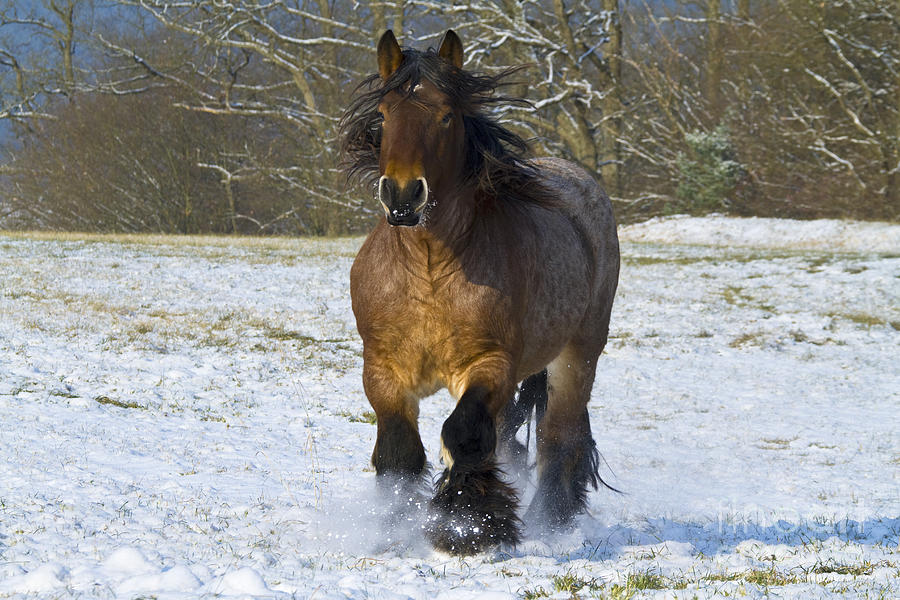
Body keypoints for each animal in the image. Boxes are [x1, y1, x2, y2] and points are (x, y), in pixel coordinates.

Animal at [338, 28, 620, 552]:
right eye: (384, 115)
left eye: (447, 115)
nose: (403, 196)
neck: (430, 270)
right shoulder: (383, 370)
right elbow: (399, 452)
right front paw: (395, 531)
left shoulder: (488, 365)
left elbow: (463, 433)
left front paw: (470, 526)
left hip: (578, 355)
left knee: (560, 438)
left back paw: (551, 523)